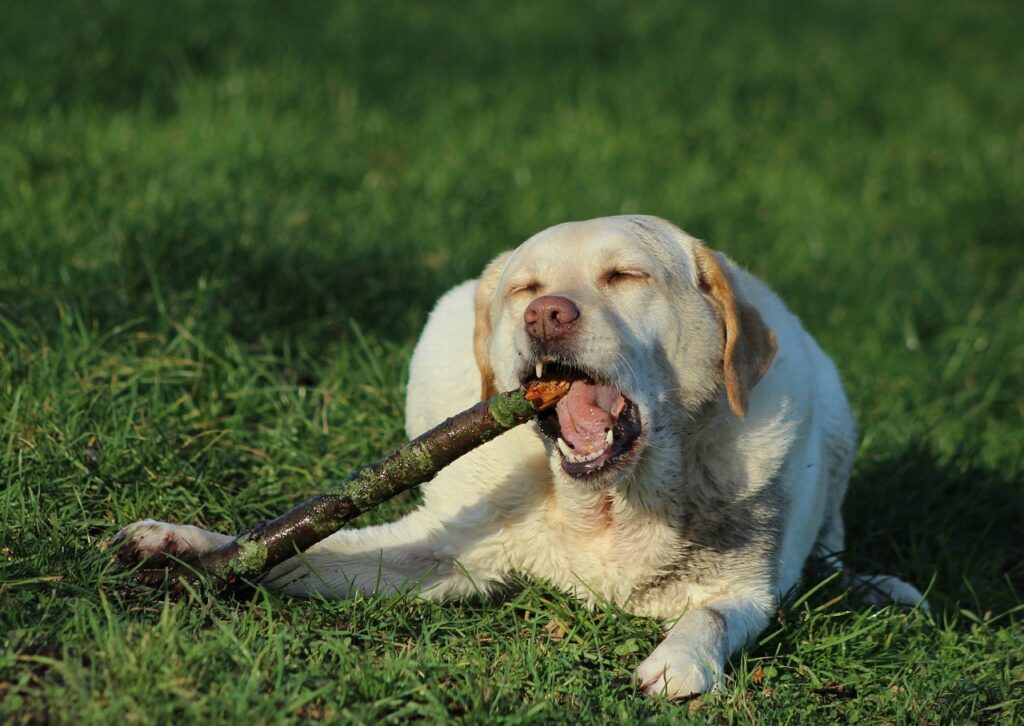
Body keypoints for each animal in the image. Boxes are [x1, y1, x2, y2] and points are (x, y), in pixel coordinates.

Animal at [116, 214, 925, 696]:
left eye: (625, 276)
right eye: (526, 289)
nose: (545, 314)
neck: (608, 506)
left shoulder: (748, 587)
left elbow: (712, 616)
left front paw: (678, 661)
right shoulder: (444, 552)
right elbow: (299, 550)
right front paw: (186, 546)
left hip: (836, 407)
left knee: (831, 550)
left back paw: (876, 587)